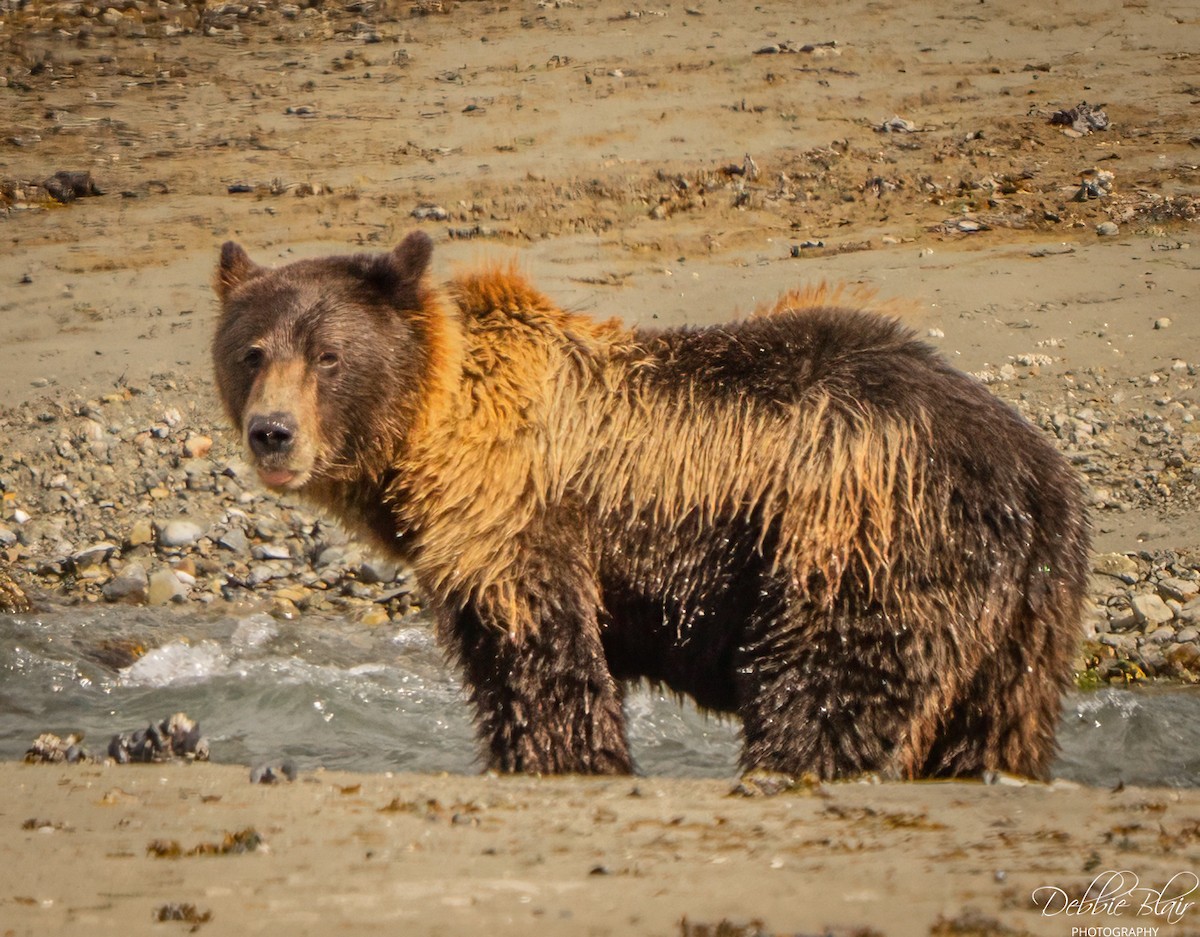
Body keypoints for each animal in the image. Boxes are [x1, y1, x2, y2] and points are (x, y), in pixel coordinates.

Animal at [212, 231, 1090, 780]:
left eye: (329, 355)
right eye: (251, 351)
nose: (273, 432)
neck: (434, 429)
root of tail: (1036, 473)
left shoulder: (517, 526)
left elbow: (539, 673)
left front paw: (563, 761)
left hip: (860, 538)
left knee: (825, 696)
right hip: (1026, 623)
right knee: (994, 729)